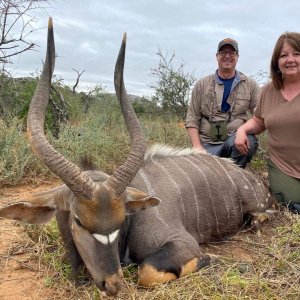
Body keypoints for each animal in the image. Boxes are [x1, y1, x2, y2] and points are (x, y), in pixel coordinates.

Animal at [0, 19, 274, 298]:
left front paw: (210, 260)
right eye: (78, 220)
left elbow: (147, 272)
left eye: (122, 219)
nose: (112, 283)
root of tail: (247, 176)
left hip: (257, 206)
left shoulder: (182, 243)